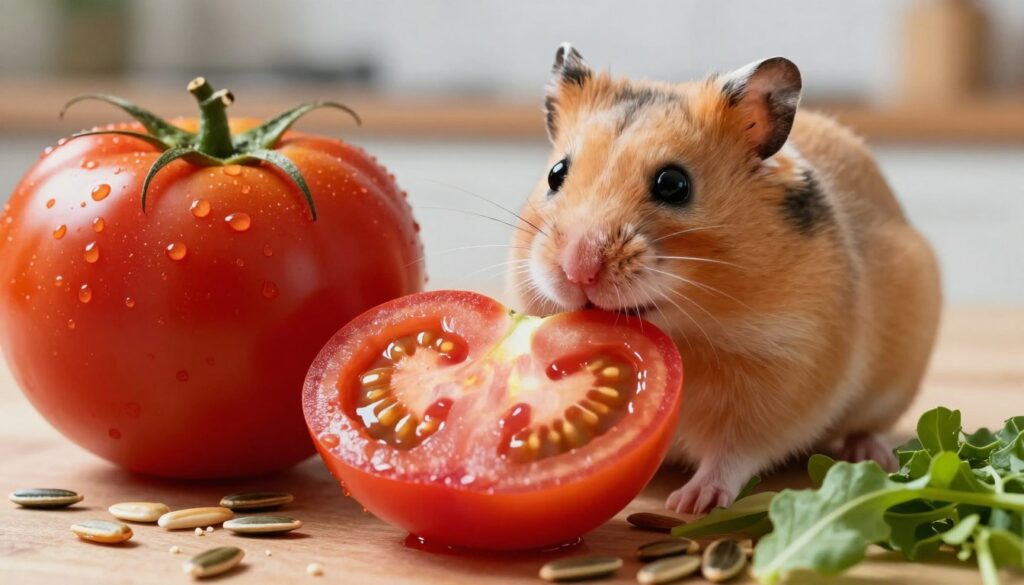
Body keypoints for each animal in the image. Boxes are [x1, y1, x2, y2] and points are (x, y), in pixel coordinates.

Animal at [507, 43, 942, 514]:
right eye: (556, 174)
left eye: (673, 184)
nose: (577, 268)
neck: (685, 331)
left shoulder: (781, 380)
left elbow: (731, 454)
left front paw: (691, 504)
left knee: (867, 427)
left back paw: (870, 454)